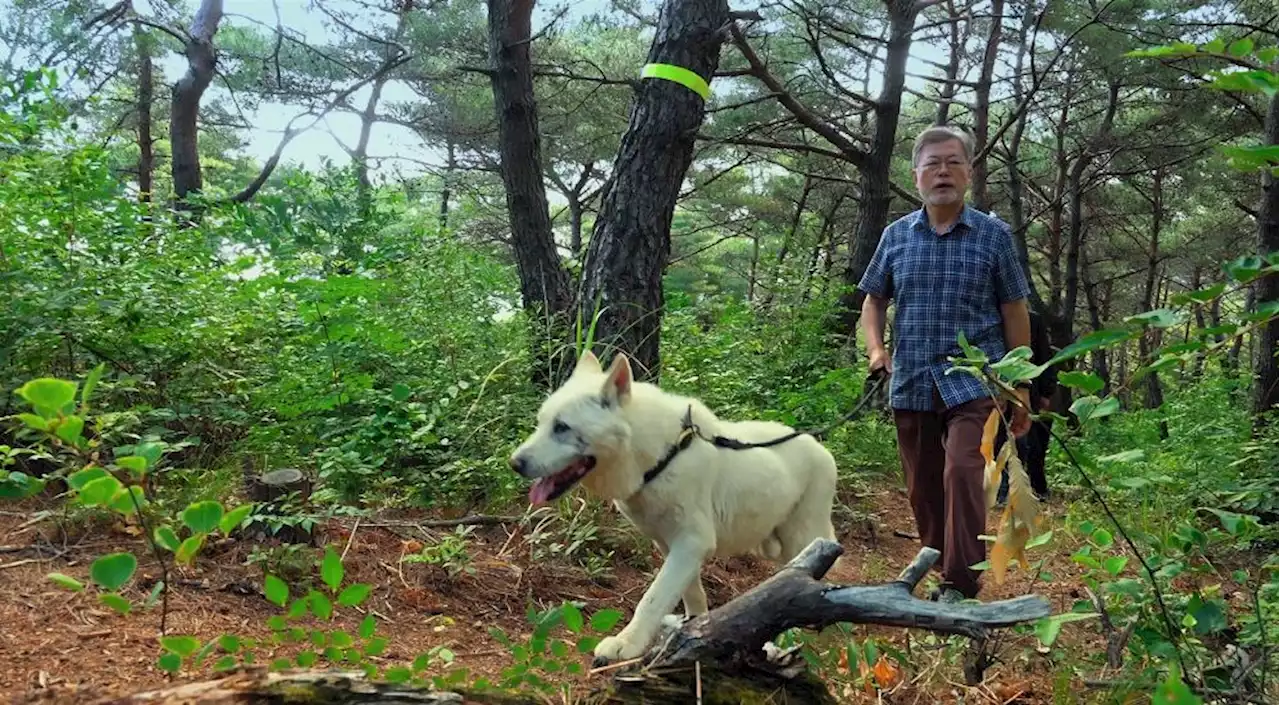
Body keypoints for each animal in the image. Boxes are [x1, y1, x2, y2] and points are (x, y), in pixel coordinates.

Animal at [509, 350, 839, 665]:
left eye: (561, 427)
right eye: (541, 423)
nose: (515, 463)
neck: (660, 459)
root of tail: (822, 449)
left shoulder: (692, 543)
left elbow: (652, 598)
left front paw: (625, 645)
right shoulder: (671, 546)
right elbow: (691, 595)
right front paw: (696, 630)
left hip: (803, 540)